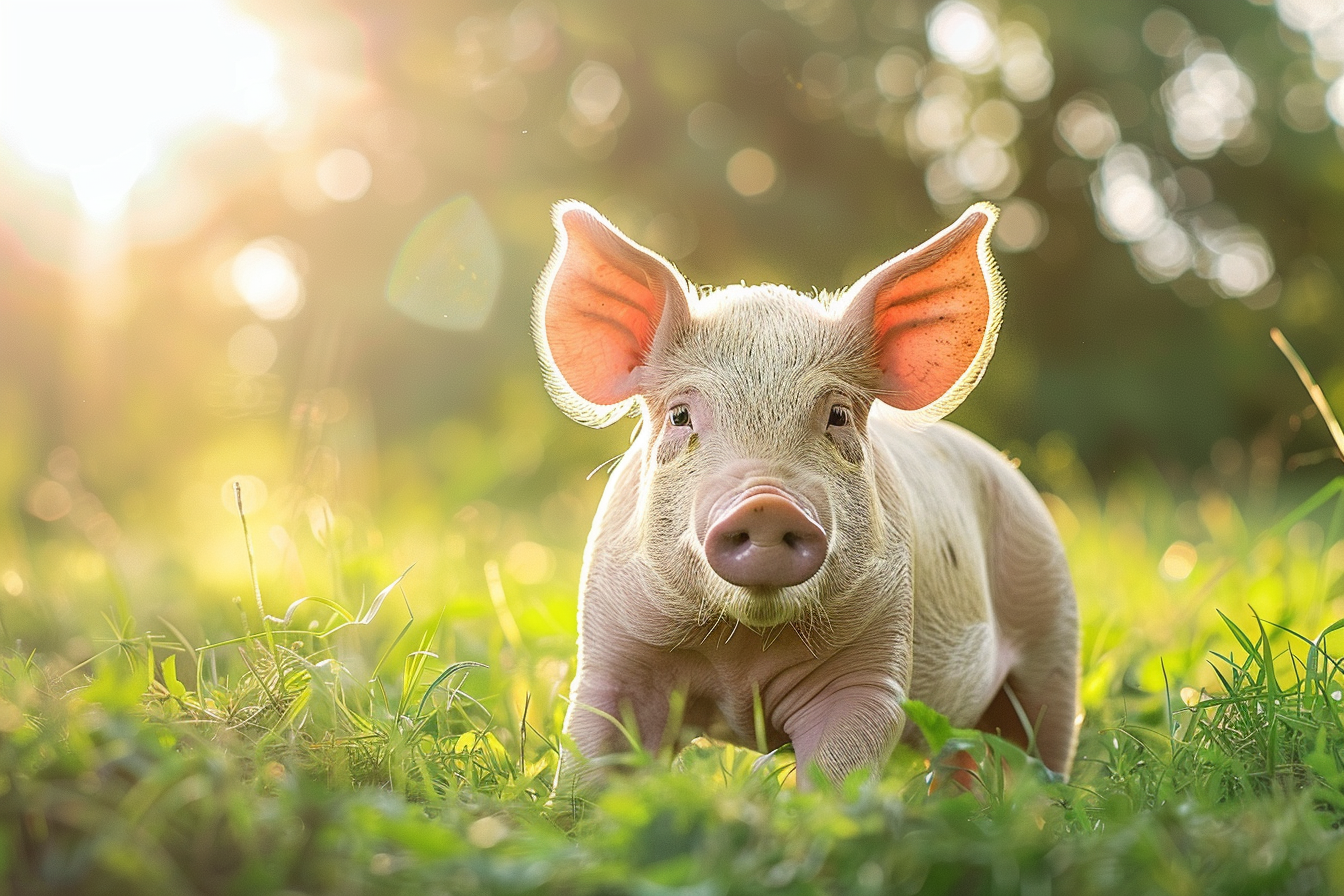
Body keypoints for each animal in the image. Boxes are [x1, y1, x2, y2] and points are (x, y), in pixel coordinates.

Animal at [533, 200, 1079, 795]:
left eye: (837, 414)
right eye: (680, 415)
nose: (766, 503)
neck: (741, 654)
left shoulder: (874, 665)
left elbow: (839, 767)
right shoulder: (612, 657)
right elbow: (594, 758)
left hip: (1052, 627)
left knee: (1036, 745)